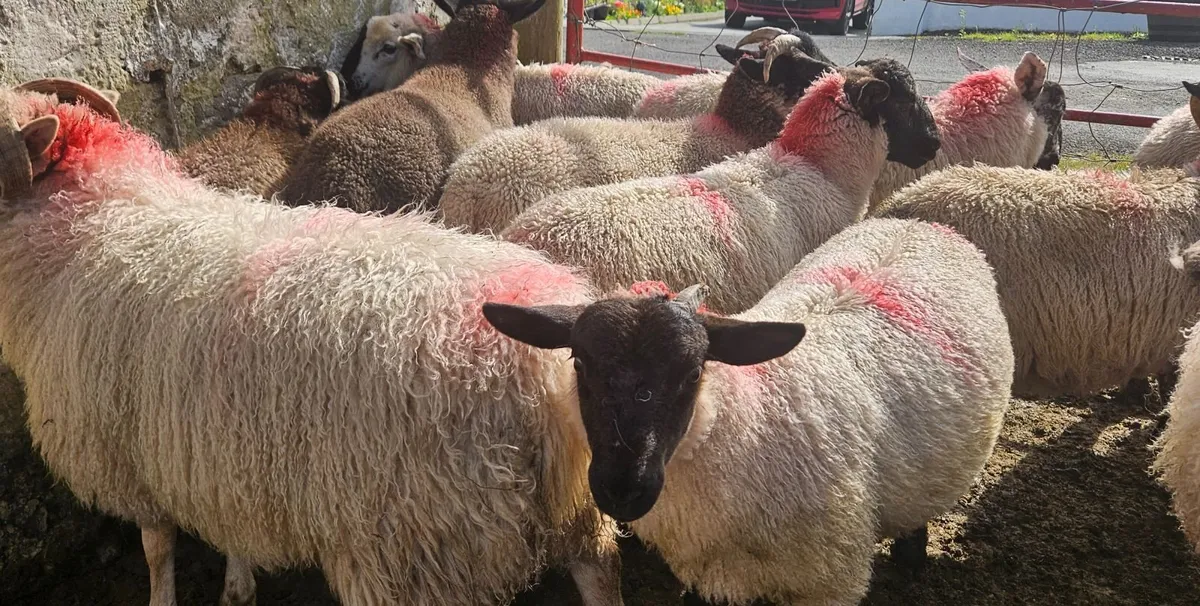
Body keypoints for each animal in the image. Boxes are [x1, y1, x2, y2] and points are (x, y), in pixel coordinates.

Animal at [482, 217, 1015, 606]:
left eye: (693, 372)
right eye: (579, 363)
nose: (623, 490)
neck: (750, 427)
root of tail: (922, 222)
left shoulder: (828, 581)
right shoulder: (715, 575)